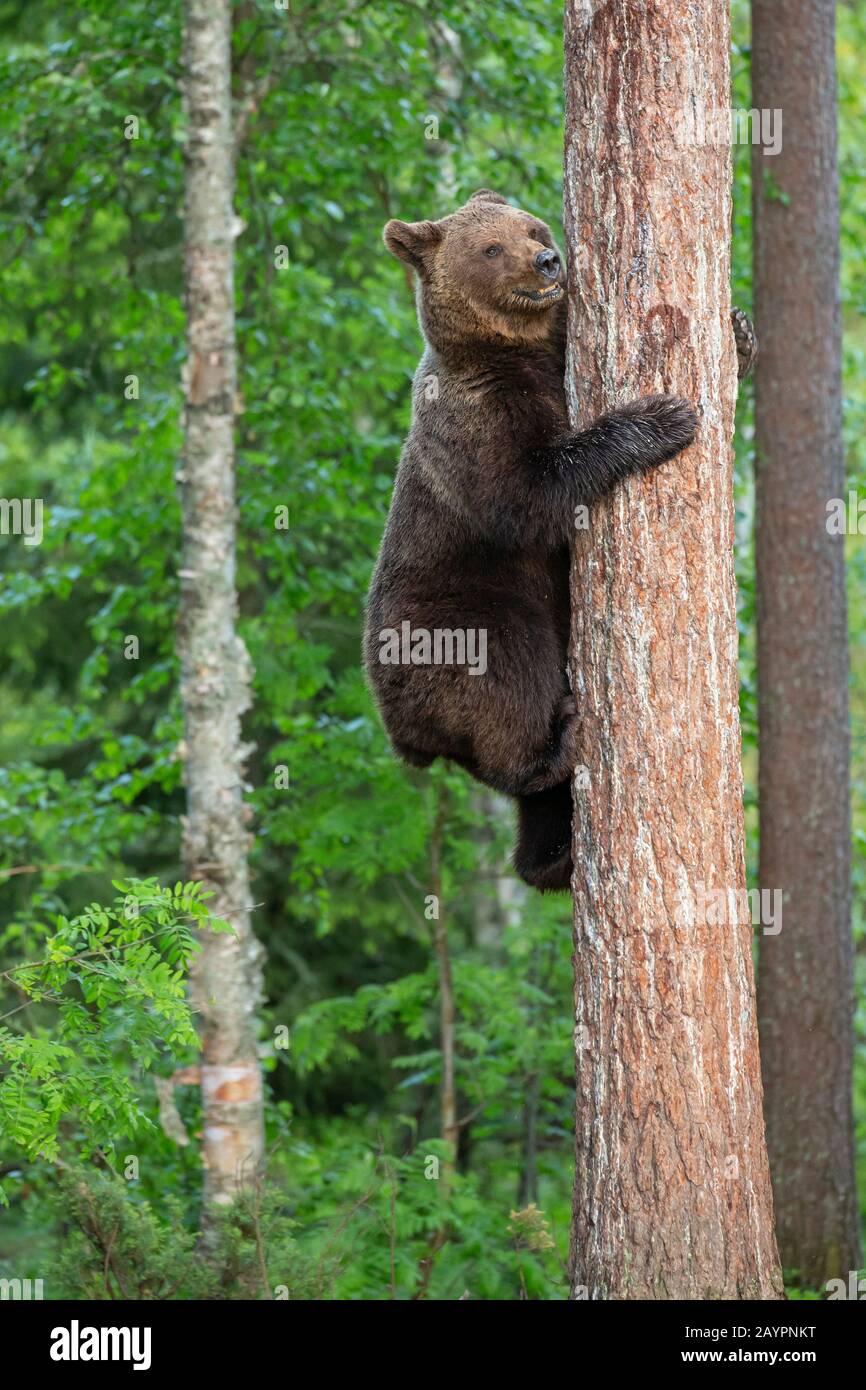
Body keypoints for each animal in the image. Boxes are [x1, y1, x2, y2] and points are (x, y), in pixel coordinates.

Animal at [364, 188, 753, 891]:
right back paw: (558, 744)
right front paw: (663, 417)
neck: (516, 351)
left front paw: (737, 329)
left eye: (534, 227)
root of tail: (406, 738)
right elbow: (530, 491)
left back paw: (553, 853)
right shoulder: (475, 423)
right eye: (491, 248)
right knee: (507, 678)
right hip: (455, 618)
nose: (548, 261)